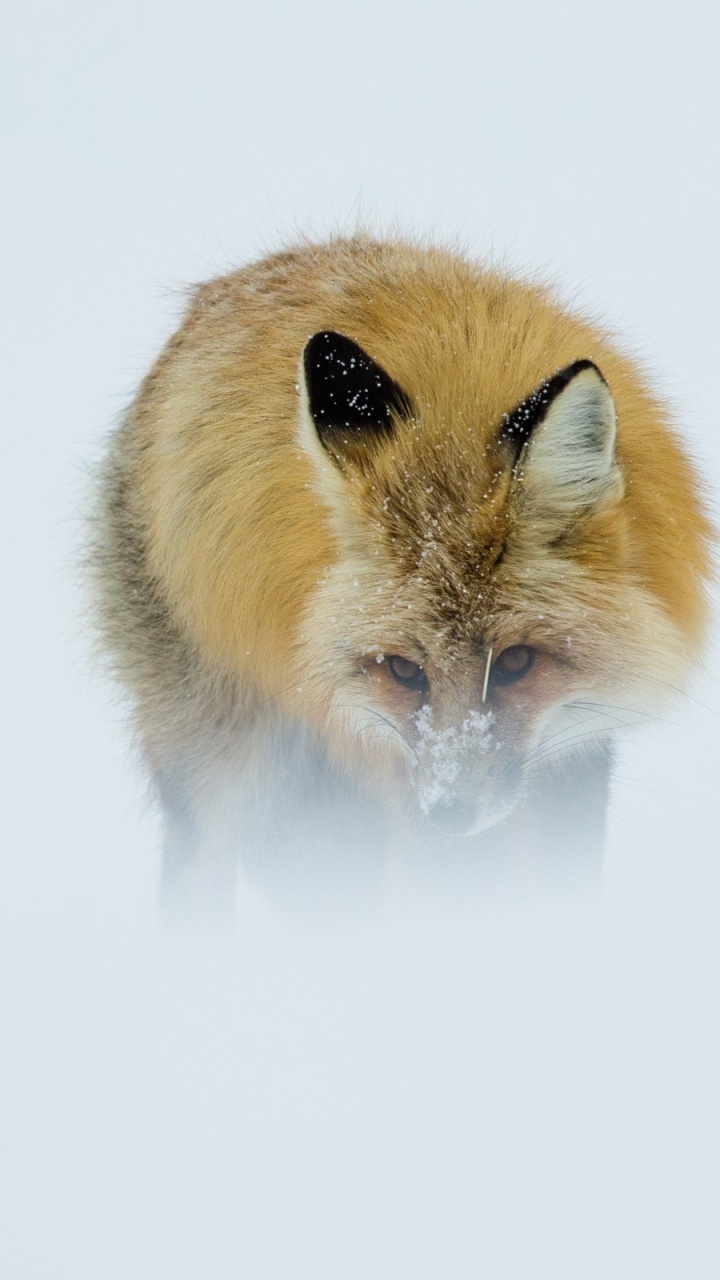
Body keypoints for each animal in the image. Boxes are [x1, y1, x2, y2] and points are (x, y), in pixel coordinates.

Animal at [91, 235, 713, 914]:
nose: (451, 814)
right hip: (224, 765)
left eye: (517, 661)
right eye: (403, 670)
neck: (455, 414)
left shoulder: (575, 752)